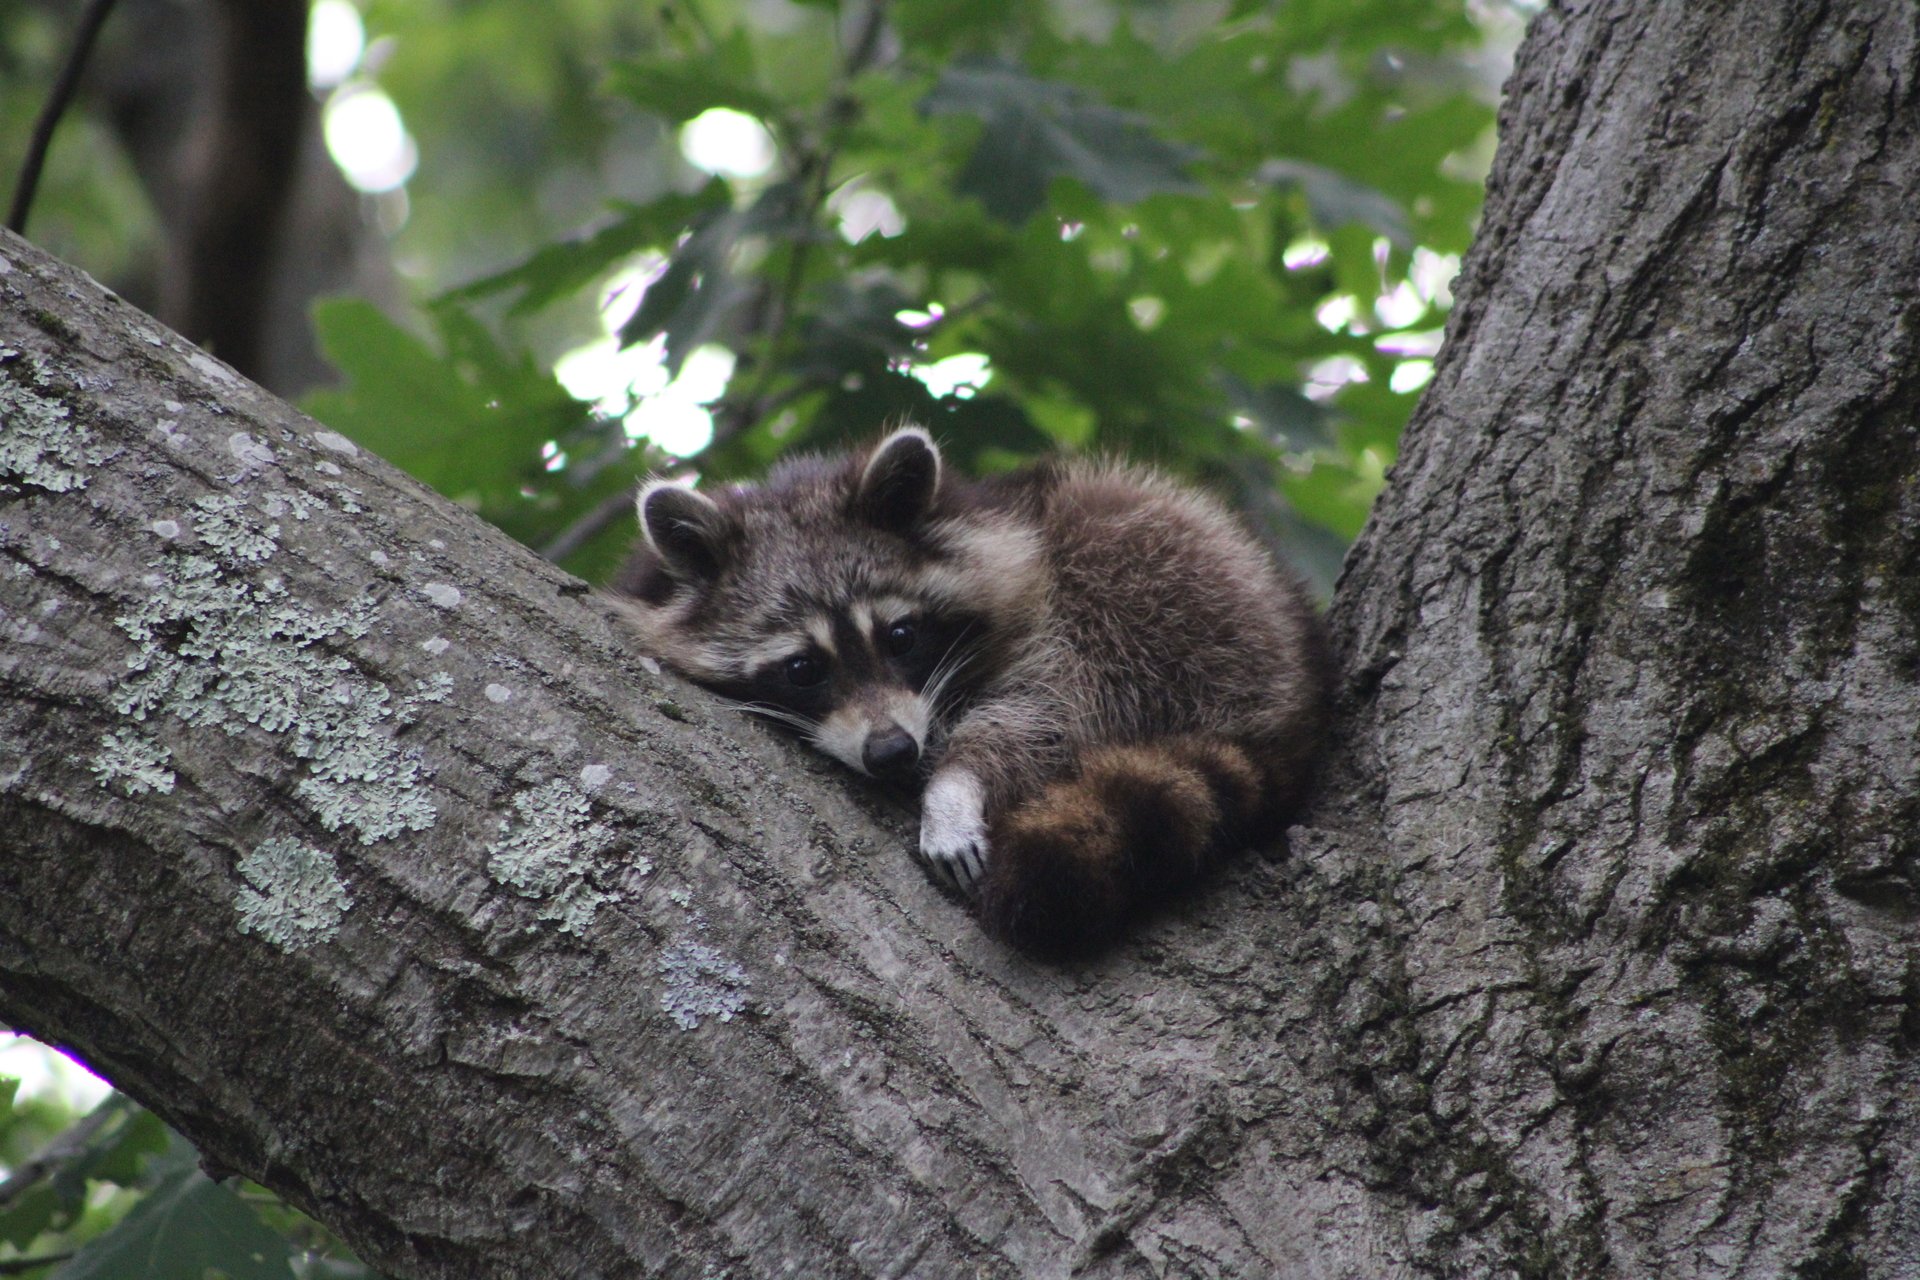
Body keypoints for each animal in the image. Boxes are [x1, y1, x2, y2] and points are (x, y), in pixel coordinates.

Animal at [606, 426, 1328, 955]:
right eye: (803, 669)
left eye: (900, 635)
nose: (893, 752)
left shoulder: (1037, 582)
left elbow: (1052, 704)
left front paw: (958, 781)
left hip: (1197, 597)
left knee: (1106, 524)